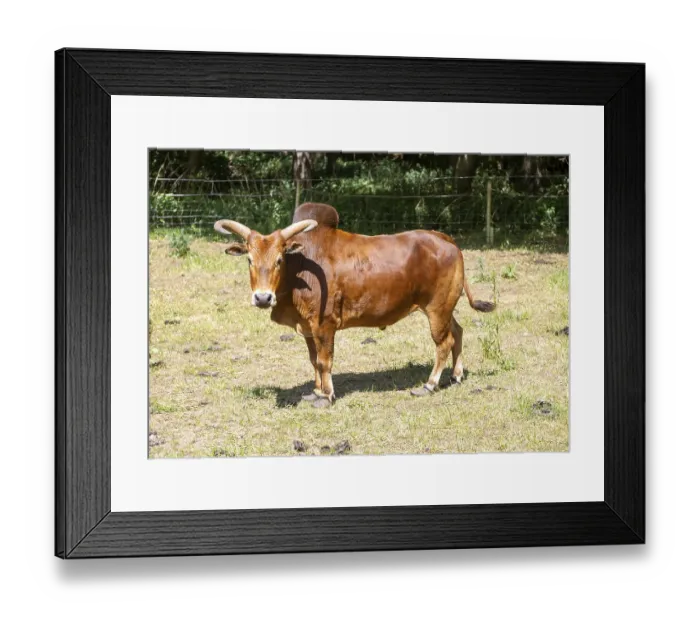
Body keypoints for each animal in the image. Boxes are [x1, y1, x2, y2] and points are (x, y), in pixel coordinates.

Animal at [215, 203, 495, 408]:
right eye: (249, 259)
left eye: (279, 260)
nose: (263, 298)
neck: (301, 266)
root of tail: (446, 239)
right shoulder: (308, 327)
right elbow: (313, 360)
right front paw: (316, 391)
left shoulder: (325, 324)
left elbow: (324, 361)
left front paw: (326, 395)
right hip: (446, 307)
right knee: (458, 332)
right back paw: (456, 375)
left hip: (437, 308)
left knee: (443, 343)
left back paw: (430, 384)